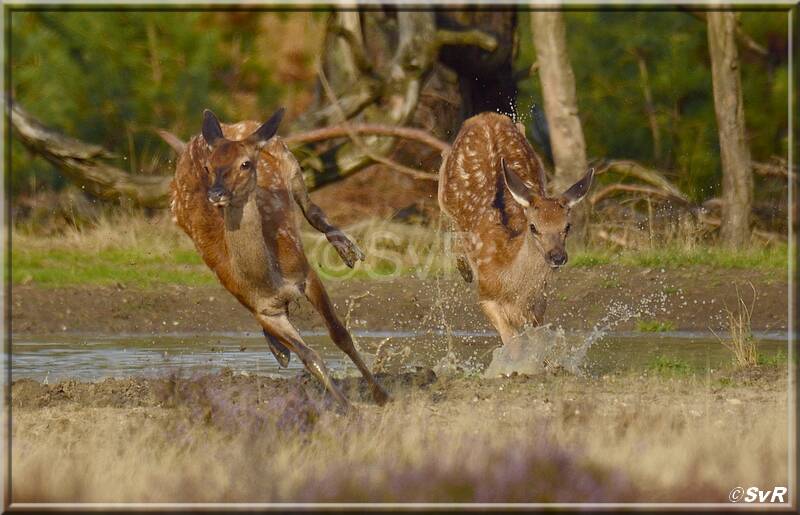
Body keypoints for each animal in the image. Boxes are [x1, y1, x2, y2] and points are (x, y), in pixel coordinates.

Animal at [170, 107, 390, 411]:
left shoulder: (306, 273)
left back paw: (347, 249)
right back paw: (279, 350)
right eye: (208, 166)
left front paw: (382, 395)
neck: (270, 277)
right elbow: (310, 356)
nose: (216, 193)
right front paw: (346, 407)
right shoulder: (262, 309)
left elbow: (340, 335)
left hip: (291, 162)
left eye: (246, 164)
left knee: (311, 208)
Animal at [438, 112, 594, 358]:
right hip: (444, 188)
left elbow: (537, 341)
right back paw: (464, 268)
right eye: (533, 227)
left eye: (567, 226)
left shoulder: (540, 300)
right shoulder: (486, 294)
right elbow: (513, 344)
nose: (557, 256)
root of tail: (484, 117)